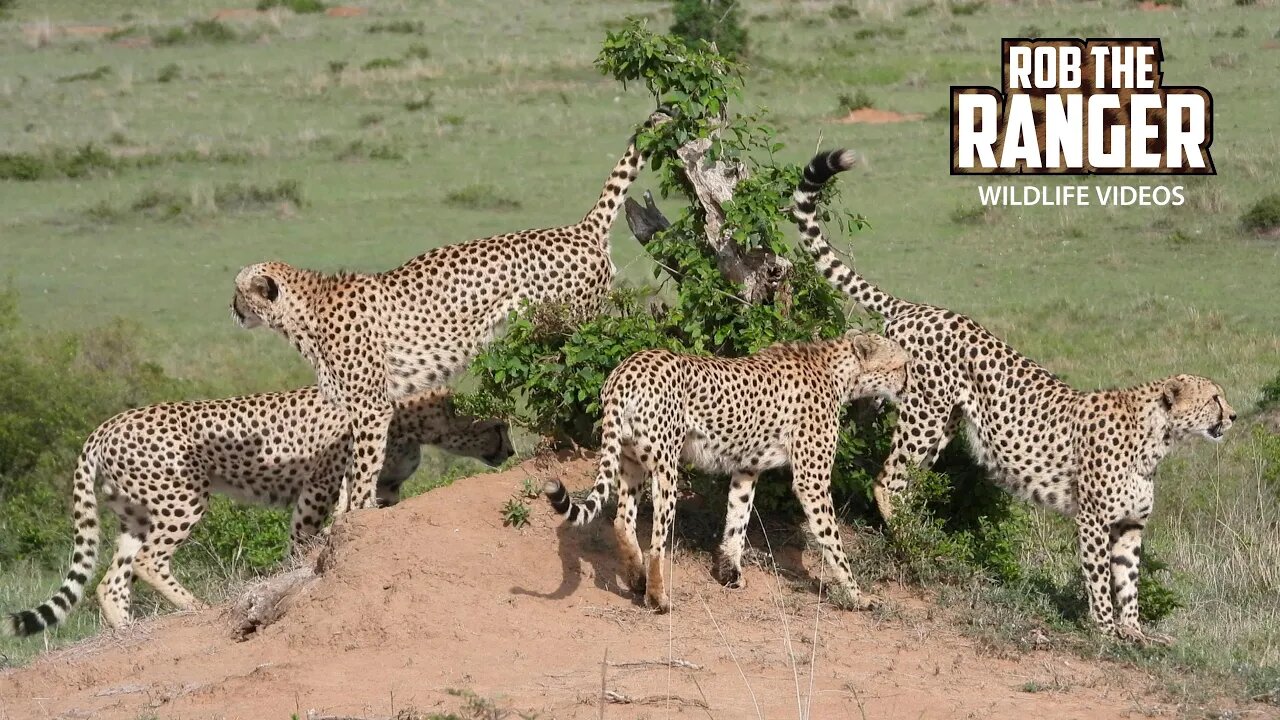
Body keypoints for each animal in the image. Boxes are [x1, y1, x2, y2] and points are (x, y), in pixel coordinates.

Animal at [5, 384, 514, 630]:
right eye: (499, 426)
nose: (510, 451)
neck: (415, 419)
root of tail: (107, 424)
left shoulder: (383, 489)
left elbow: (363, 519)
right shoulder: (321, 483)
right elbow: (307, 535)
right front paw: (294, 576)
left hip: (136, 512)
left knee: (111, 580)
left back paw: (126, 631)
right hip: (183, 498)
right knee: (148, 562)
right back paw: (197, 609)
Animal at [232, 107, 670, 515]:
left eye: (239, 292)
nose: (232, 309)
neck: (301, 313)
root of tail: (578, 229)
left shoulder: (372, 408)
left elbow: (364, 468)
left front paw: (356, 511)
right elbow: (347, 470)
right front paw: (341, 515)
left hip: (574, 324)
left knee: (588, 368)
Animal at [540, 335, 911, 609]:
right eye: (901, 364)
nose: (909, 384)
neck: (836, 371)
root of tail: (628, 368)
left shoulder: (746, 467)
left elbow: (737, 518)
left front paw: (729, 573)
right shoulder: (812, 480)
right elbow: (833, 541)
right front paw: (857, 596)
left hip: (631, 460)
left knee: (622, 520)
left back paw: (637, 580)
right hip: (666, 468)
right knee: (657, 541)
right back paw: (658, 598)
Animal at [793, 148, 1233, 640]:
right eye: (1214, 398)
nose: (1233, 415)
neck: (1158, 437)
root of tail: (920, 308)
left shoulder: (1130, 525)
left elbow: (1129, 581)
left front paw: (1135, 633)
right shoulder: (1093, 520)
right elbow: (1100, 577)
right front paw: (1104, 629)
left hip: (945, 423)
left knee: (902, 472)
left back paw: (923, 532)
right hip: (925, 413)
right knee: (887, 479)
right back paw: (910, 537)